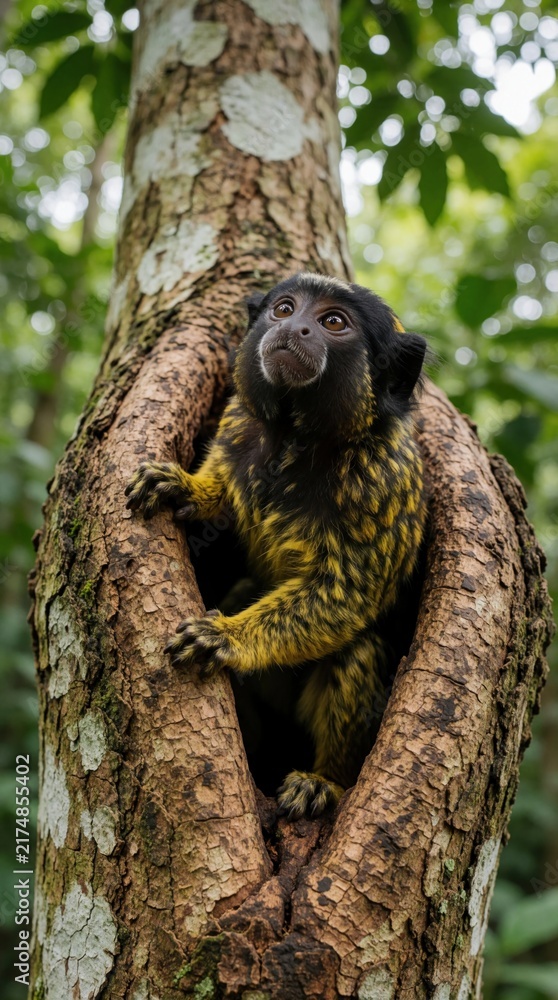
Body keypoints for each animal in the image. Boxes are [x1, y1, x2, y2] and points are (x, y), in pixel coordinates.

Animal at [125, 273, 427, 819]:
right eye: (284, 309)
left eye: (333, 322)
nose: (296, 328)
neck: (296, 440)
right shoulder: (236, 424)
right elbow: (222, 495)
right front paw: (184, 488)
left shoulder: (386, 481)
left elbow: (346, 595)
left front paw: (226, 638)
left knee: (357, 650)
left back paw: (323, 781)